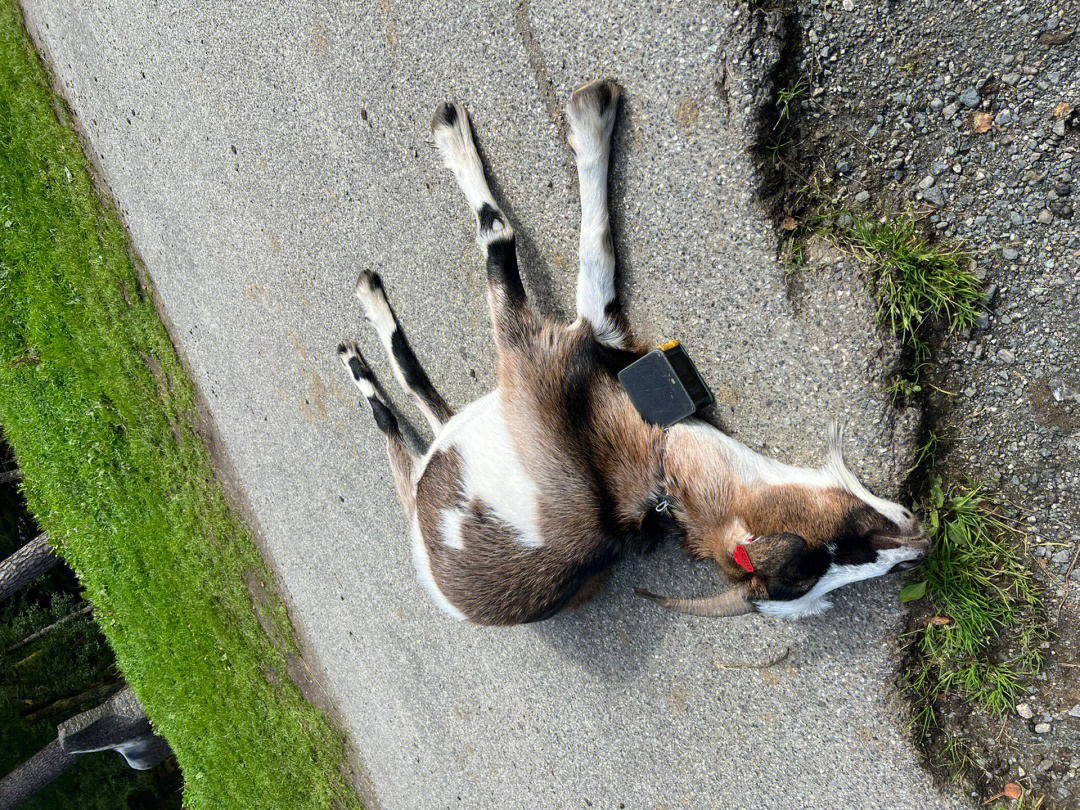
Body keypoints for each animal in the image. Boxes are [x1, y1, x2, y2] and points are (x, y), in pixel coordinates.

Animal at [339, 81, 928, 626]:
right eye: (833, 542)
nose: (919, 545)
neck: (649, 464)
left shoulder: (549, 346)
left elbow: (545, 250)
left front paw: (570, 120)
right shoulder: (563, 345)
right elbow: (557, 246)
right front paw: (587, 116)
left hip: (458, 431)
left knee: (414, 407)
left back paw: (362, 333)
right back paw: (364, 319)